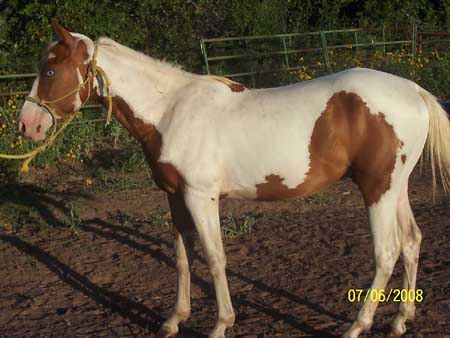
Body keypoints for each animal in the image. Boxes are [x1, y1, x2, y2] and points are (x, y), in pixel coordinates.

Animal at [17, 20, 450, 338]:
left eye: (50, 70)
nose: (27, 125)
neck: (170, 110)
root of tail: (414, 90)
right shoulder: (174, 196)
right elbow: (182, 257)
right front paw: (174, 320)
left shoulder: (200, 197)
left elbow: (214, 257)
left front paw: (220, 325)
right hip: (396, 188)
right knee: (412, 242)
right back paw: (400, 321)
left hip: (378, 189)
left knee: (386, 252)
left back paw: (357, 326)